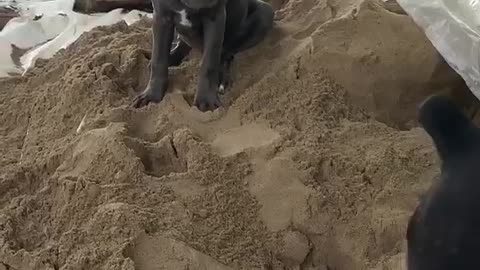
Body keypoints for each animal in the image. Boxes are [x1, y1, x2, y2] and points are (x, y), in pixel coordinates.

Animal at [132, 0, 274, 110]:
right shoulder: (161, 17)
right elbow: (158, 58)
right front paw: (151, 95)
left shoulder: (215, 18)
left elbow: (209, 62)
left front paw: (206, 99)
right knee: (183, 44)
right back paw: (172, 57)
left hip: (265, 14)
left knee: (225, 54)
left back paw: (221, 80)